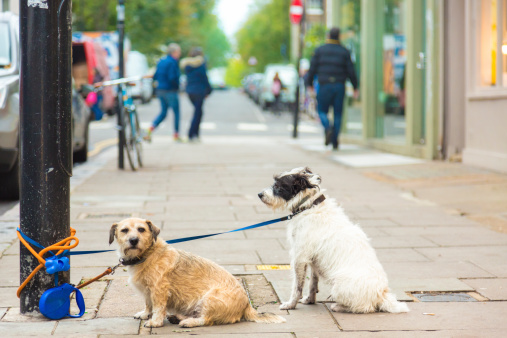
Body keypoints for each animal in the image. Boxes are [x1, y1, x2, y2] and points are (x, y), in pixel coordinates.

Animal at [109, 219, 288, 328]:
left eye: (141, 229)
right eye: (124, 230)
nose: (133, 240)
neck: (147, 254)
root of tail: (247, 305)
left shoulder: (159, 290)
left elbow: (158, 308)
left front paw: (155, 322)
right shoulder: (148, 291)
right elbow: (148, 304)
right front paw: (146, 314)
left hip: (210, 298)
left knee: (206, 319)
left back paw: (188, 322)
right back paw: (178, 317)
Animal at [258, 168, 408, 312]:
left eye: (278, 186)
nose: (259, 194)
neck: (309, 206)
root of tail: (381, 295)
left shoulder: (300, 257)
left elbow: (297, 287)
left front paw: (290, 304)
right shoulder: (312, 259)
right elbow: (313, 282)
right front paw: (310, 300)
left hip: (338, 284)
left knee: (365, 307)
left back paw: (339, 307)